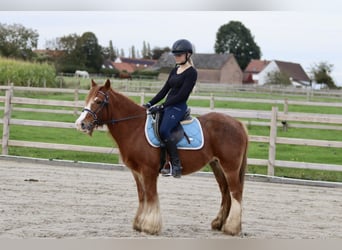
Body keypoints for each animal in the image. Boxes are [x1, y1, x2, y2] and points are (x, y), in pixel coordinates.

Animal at [75, 79, 248, 236]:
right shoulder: (137, 172)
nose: (80, 124)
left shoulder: (149, 171)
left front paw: (149, 226)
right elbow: (142, 196)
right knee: (225, 192)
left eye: (98, 101)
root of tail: (238, 124)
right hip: (217, 165)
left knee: (236, 192)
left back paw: (231, 228)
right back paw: (219, 223)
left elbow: (151, 196)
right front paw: (139, 223)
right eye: (87, 100)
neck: (135, 128)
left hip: (230, 168)